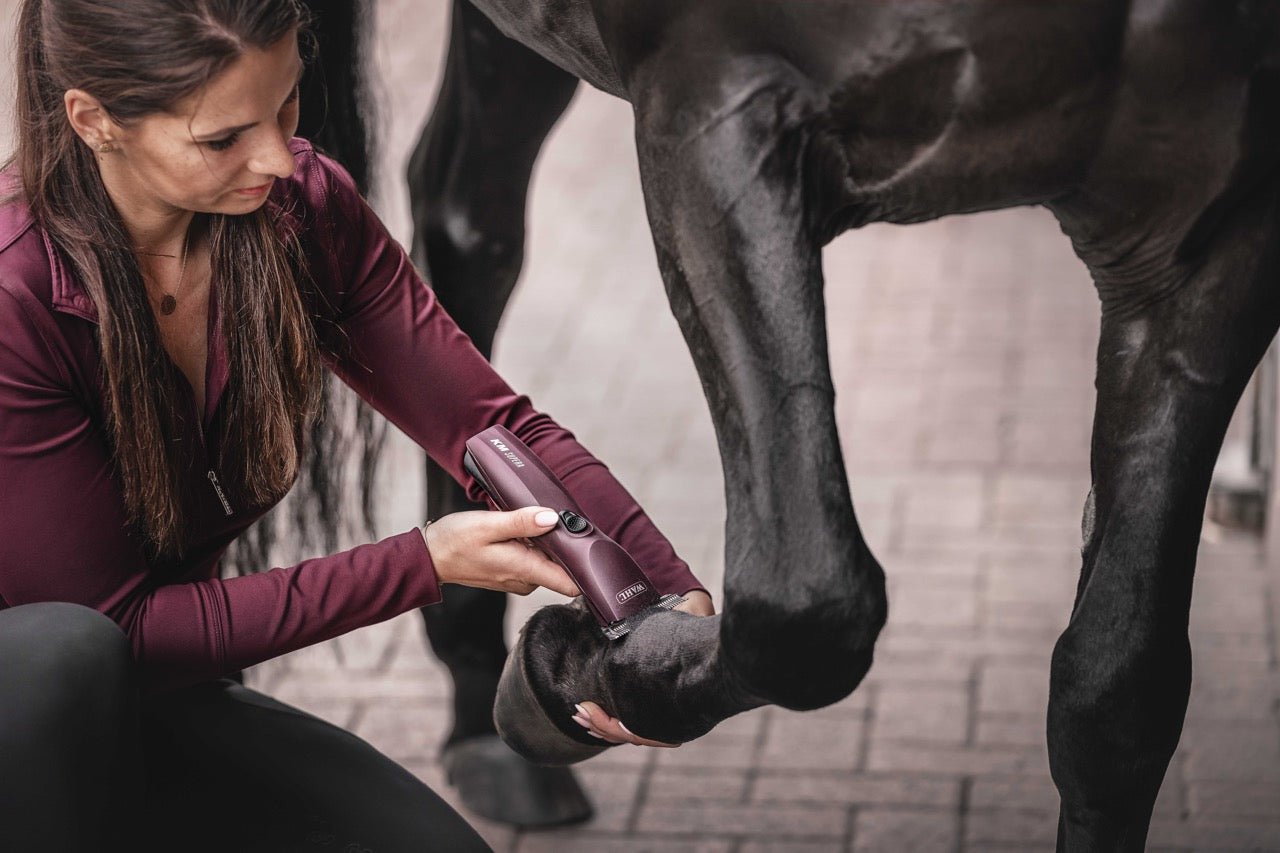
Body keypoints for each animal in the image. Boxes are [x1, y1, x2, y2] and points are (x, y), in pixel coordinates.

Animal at [308, 1, 1280, 848]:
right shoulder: (712, 112)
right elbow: (806, 606)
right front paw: (563, 673)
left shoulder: (1201, 253)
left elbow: (1116, 692)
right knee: (455, 223)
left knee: (460, 224)